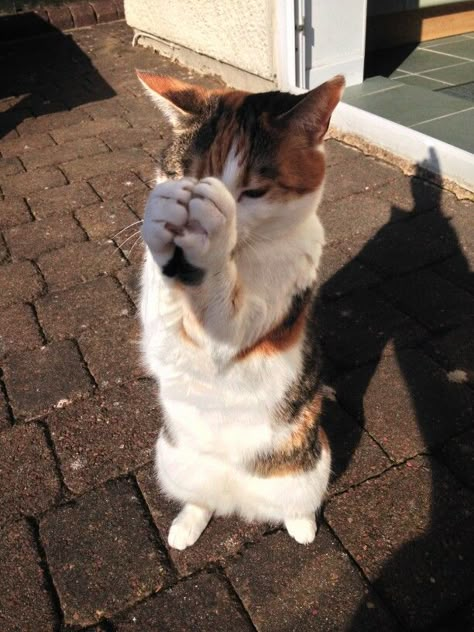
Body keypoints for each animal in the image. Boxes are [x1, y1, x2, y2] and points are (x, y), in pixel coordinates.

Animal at [137, 71, 344, 552]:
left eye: (253, 192)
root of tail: (236, 500)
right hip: (170, 456)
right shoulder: (162, 337)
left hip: (312, 464)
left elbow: (227, 322)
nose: (204, 200)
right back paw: (187, 525)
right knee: (200, 500)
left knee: (296, 503)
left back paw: (301, 526)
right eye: (187, 175)